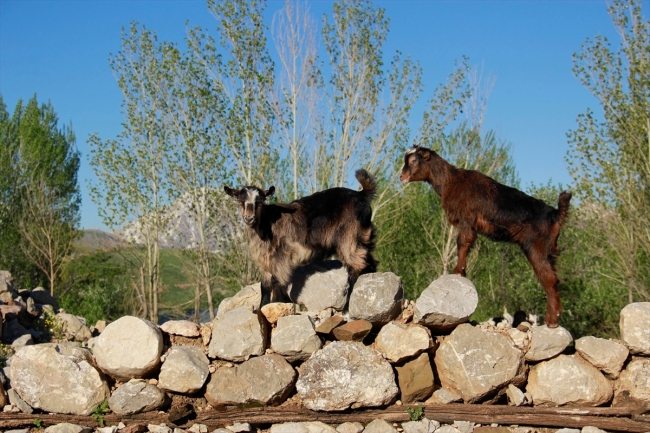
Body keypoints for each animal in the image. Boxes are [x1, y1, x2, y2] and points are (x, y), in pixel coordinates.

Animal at [224, 170, 378, 304]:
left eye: (260, 202)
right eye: (240, 201)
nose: (249, 218)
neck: (267, 223)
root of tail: (362, 195)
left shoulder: (281, 257)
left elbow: (277, 283)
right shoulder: (266, 261)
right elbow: (265, 287)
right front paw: (262, 309)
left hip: (349, 237)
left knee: (356, 266)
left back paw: (347, 308)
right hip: (362, 238)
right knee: (370, 263)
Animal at [398, 147, 568, 326]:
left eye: (413, 161)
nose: (401, 177)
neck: (450, 181)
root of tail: (555, 214)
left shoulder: (466, 220)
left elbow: (462, 243)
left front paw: (458, 271)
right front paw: (462, 271)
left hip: (536, 248)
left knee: (549, 280)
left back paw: (551, 321)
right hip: (548, 253)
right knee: (554, 280)